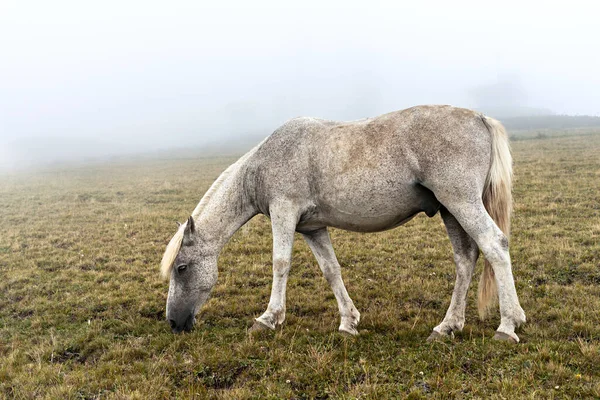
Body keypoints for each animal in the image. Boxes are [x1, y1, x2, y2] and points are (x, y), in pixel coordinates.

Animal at [159, 104, 524, 342]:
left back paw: (507, 326)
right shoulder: (311, 228)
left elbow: (280, 263)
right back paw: (447, 326)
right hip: (450, 209)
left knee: (494, 246)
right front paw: (348, 322)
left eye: (181, 268)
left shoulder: (284, 213)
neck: (263, 164)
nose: (174, 322)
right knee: (466, 259)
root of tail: (479, 118)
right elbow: (331, 270)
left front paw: (268, 319)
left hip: (461, 202)